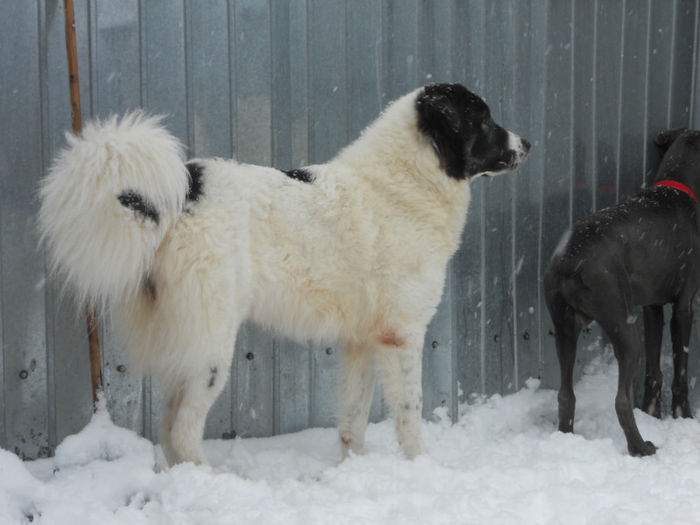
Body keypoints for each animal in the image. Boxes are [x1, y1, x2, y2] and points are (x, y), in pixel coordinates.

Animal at [38, 84, 528, 464]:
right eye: (483, 120)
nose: (527, 144)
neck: (404, 183)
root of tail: (185, 188)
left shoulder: (361, 341)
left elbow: (353, 419)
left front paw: (353, 470)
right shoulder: (401, 335)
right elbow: (410, 412)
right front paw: (421, 467)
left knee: (166, 428)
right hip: (212, 345)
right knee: (181, 429)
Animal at [544, 128, 700, 454]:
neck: (678, 186)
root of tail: (570, 259)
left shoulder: (652, 306)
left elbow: (655, 366)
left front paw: (653, 411)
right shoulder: (684, 305)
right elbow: (680, 365)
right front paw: (683, 416)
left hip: (565, 328)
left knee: (566, 394)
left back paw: (566, 439)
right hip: (623, 327)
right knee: (620, 401)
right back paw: (641, 448)